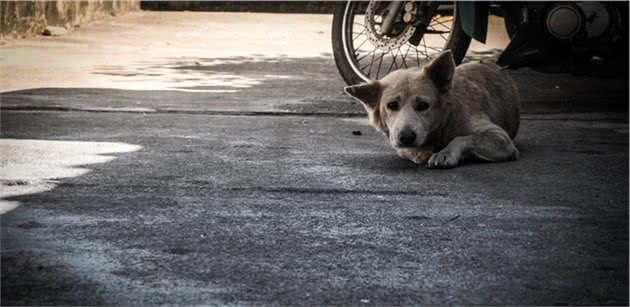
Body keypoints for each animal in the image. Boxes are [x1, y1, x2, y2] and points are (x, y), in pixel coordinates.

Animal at [348, 51, 520, 170]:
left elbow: (462, 138)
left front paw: (444, 153)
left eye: (423, 105)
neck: (442, 126)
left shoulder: (501, 139)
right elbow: (411, 151)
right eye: (392, 105)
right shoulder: (399, 143)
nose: (406, 137)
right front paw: (423, 152)